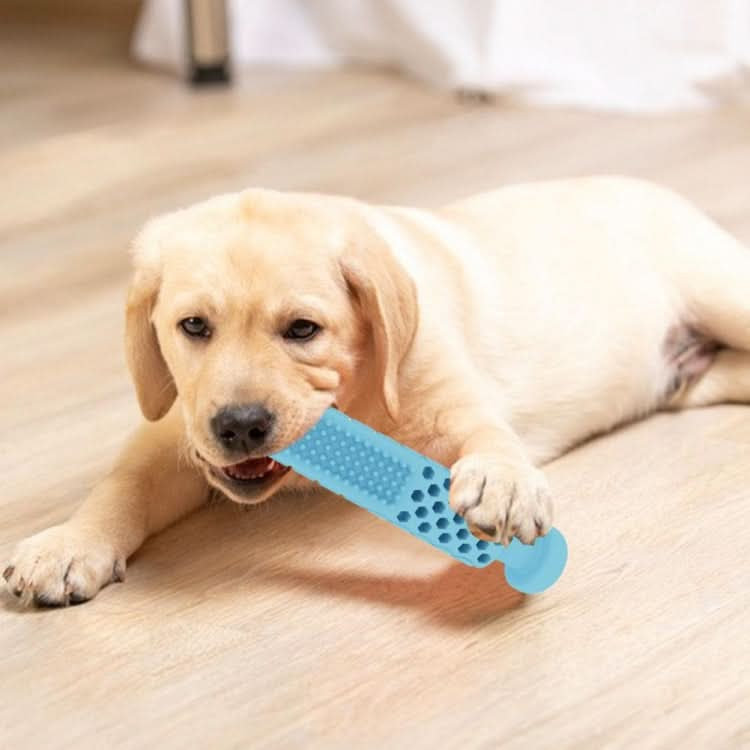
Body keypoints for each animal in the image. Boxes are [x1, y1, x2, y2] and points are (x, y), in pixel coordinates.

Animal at [5, 179, 750, 608]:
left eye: (302, 330)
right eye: (193, 327)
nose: (240, 425)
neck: (357, 395)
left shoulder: (447, 389)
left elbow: (489, 436)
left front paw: (505, 483)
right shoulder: (178, 424)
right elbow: (125, 482)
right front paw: (69, 543)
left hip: (721, 289)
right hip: (691, 380)